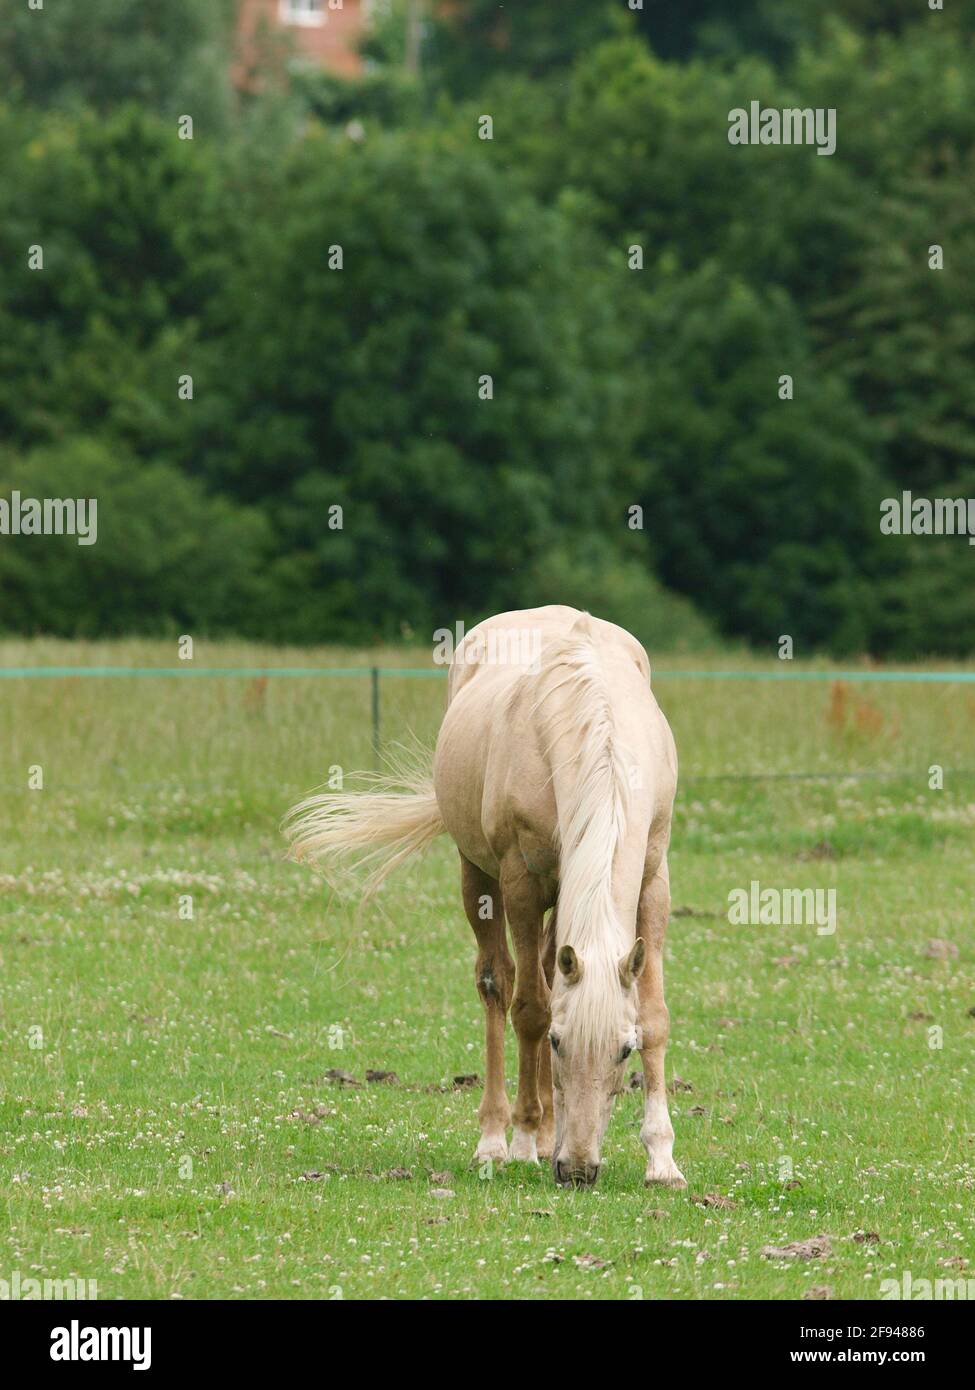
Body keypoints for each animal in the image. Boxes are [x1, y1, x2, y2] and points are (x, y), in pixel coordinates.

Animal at [285, 605, 685, 1189]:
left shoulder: (653, 878)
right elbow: (532, 1009)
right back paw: (500, 1138)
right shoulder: (519, 882)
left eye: (624, 1050)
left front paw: (662, 1160)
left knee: (547, 967)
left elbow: (654, 1015)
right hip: (477, 876)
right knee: (499, 983)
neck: (596, 732)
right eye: (560, 1043)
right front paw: (520, 1143)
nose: (578, 1169)